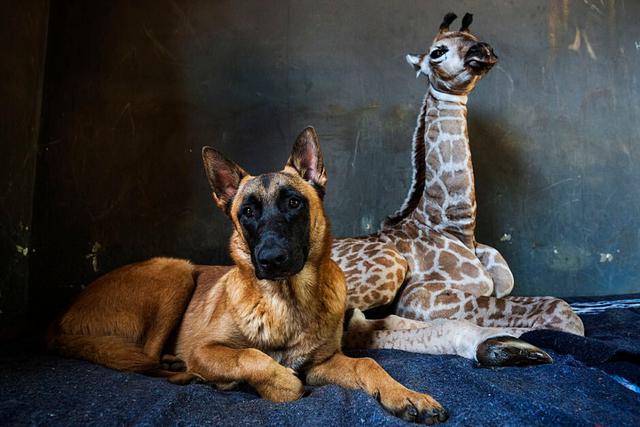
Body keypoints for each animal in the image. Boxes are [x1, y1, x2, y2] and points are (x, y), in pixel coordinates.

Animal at [47, 129, 448, 426]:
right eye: (248, 212)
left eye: (294, 203)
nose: (271, 260)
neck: (286, 301)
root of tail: (59, 322)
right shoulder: (206, 349)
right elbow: (251, 357)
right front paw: (277, 382)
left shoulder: (322, 365)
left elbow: (367, 363)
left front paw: (406, 395)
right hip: (177, 271)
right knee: (145, 358)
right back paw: (189, 372)